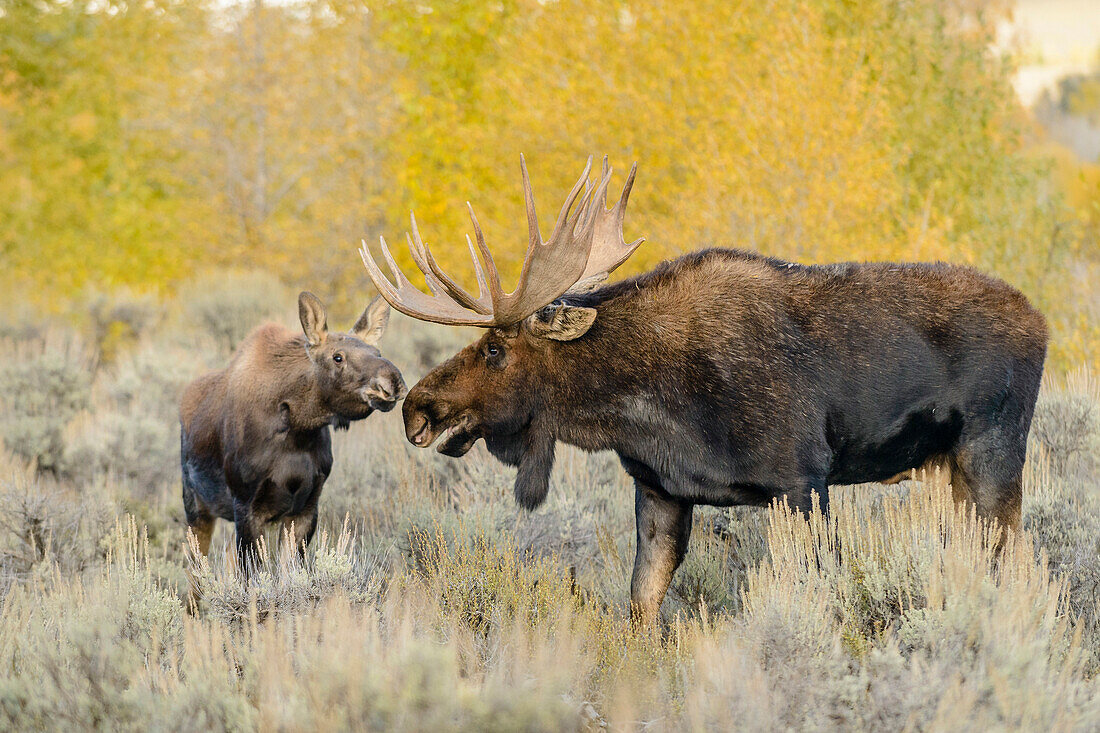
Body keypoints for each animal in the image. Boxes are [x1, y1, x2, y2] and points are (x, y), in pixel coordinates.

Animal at [180, 288, 404, 572]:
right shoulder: (246, 506)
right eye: (337, 357)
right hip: (196, 507)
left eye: (377, 351)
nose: (392, 382)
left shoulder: (307, 506)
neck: (298, 433)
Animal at [360, 154, 1047, 620]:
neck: (647, 409)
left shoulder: (803, 479)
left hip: (992, 452)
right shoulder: (659, 489)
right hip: (952, 469)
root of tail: (1043, 324)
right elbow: (641, 604)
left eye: (496, 349)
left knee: (1015, 558)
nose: (416, 407)